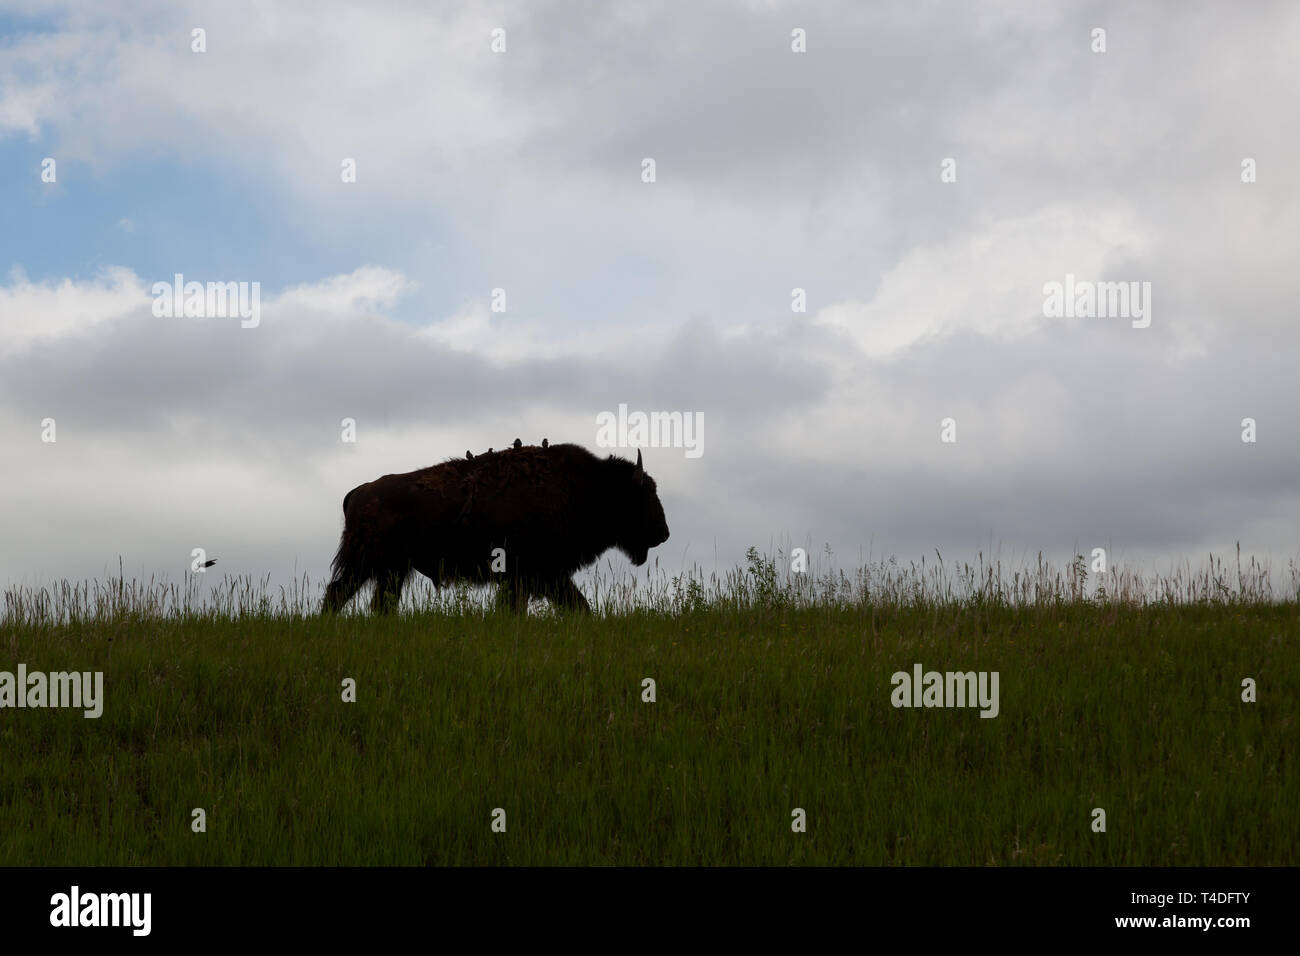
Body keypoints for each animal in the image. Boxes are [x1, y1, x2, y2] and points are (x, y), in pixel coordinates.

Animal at [322, 442, 670, 613]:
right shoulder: (540, 573)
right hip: (367, 564)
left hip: (392, 570)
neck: (590, 487)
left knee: (378, 603)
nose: (664, 533)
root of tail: (359, 491)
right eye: (645, 495)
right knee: (338, 593)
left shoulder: (537, 577)